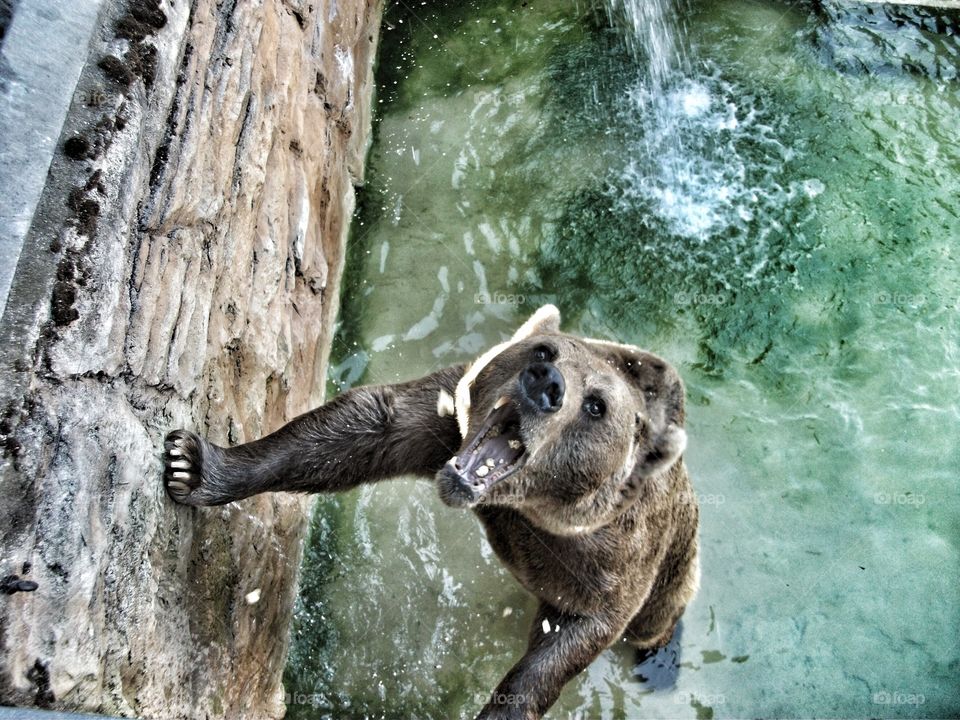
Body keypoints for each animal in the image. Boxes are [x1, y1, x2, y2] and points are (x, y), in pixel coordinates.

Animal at [163, 305, 699, 720]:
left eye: (596, 406)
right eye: (545, 351)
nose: (547, 383)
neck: (519, 506)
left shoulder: (610, 556)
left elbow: (575, 633)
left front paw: (506, 707)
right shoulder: (449, 419)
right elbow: (365, 425)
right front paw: (194, 465)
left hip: (676, 560)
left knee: (658, 615)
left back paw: (660, 659)